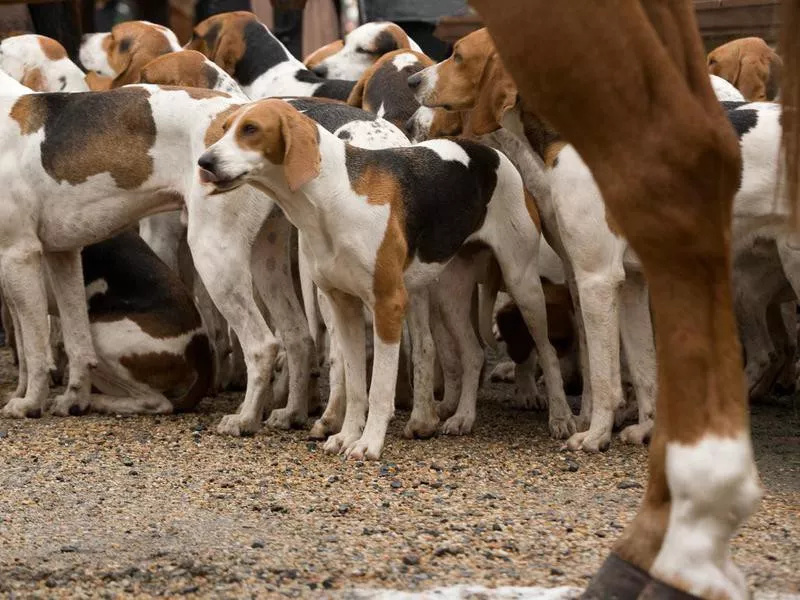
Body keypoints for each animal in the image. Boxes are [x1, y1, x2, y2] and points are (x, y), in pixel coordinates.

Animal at [197, 98, 572, 460]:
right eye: (225, 128)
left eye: (250, 129)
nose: (203, 162)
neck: (333, 195)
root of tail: (492, 153)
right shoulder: (343, 305)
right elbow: (354, 384)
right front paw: (345, 436)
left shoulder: (388, 305)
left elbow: (378, 388)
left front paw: (368, 444)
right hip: (450, 293)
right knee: (474, 353)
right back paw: (463, 417)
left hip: (523, 284)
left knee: (548, 351)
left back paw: (561, 417)